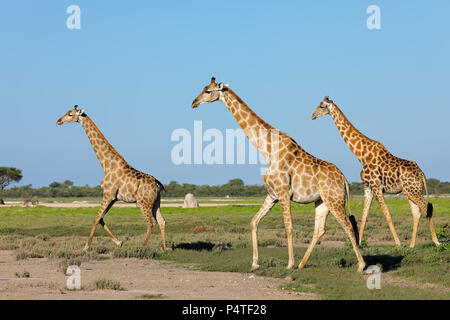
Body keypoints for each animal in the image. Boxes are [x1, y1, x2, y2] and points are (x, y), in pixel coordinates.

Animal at [56, 106, 167, 251]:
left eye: (70, 114)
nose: (58, 121)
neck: (106, 165)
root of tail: (159, 185)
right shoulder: (113, 198)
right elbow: (101, 218)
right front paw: (119, 242)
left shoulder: (107, 194)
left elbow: (96, 218)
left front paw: (86, 247)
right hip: (156, 202)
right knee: (162, 221)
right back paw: (164, 249)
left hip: (143, 203)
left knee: (152, 223)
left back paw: (142, 247)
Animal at [191, 77, 366, 272]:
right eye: (203, 88)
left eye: (208, 91)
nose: (194, 103)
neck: (267, 150)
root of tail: (344, 179)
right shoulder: (272, 195)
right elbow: (254, 222)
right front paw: (255, 263)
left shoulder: (283, 193)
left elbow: (288, 227)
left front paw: (289, 264)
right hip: (322, 201)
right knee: (320, 229)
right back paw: (302, 264)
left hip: (335, 199)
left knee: (348, 225)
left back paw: (361, 266)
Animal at [312, 96, 442, 249]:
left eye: (321, 106)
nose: (313, 116)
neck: (361, 155)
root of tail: (422, 174)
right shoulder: (368, 186)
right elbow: (364, 215)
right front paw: (359, 243)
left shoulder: (377, 186)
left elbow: (387, 214)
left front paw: (397, 243)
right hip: (410, 191)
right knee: (417, 213)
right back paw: (411, 245)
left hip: (413, 191)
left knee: (428, 207)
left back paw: (436, 241)